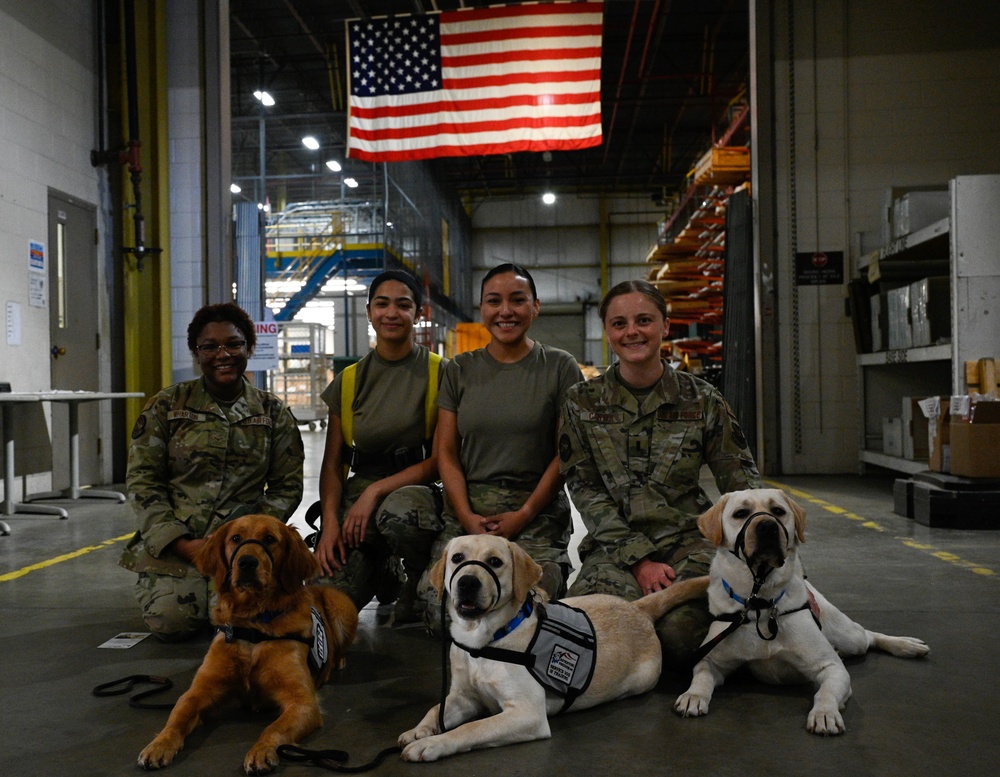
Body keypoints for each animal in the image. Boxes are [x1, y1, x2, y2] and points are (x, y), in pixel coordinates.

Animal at [139, 512, 358, 772]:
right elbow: (177, 717)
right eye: (236, 538)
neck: (253, 625)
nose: (246, 563)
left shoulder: (303, 701)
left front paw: (261, 750)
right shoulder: (198, 691)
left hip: (341, 606)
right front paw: (159, 744)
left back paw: (338, 661)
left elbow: (274, 727)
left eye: (270, 539)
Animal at [400, 536, 712, 760]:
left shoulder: (527, 714)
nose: (467, 582)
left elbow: (473, 727)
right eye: (457, 558)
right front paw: (419, 730)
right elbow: (436, 709)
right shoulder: (464, 697)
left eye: (495, 561)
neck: (484, 641)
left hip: (641, 679)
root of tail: (637, 607)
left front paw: (434, 743)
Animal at [672, 488, 928, 736]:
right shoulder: (711, 659)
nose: (767, 526)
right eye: (740, 513)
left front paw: (825, 713)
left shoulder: (832, 667)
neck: (760, 603)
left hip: (849, 637)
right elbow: (701, 677)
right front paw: (693, 696)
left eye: (778, 510)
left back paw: (907, 645)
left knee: (867, 634)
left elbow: (825, 692)